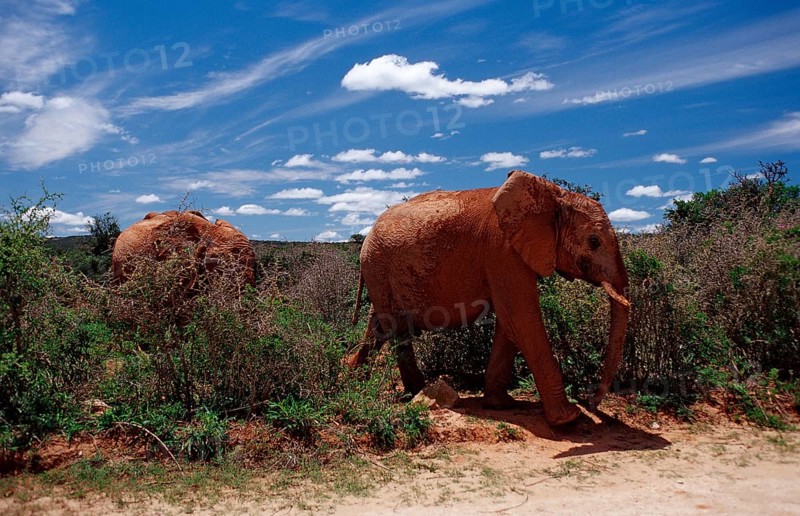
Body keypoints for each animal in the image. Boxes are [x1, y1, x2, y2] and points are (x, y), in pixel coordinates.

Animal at [349, 171, 630, 426]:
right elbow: (521, 320)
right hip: (379, 267)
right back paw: (415, 391)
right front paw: (568, 419)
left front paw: (501, 404)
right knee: (398, 331)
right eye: (594, 241)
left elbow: (510, 324)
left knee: (379, 326)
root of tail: (367, 237)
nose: (591, 403)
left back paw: (354, 376)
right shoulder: (502, 250)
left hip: (379, 273)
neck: (552, 194)